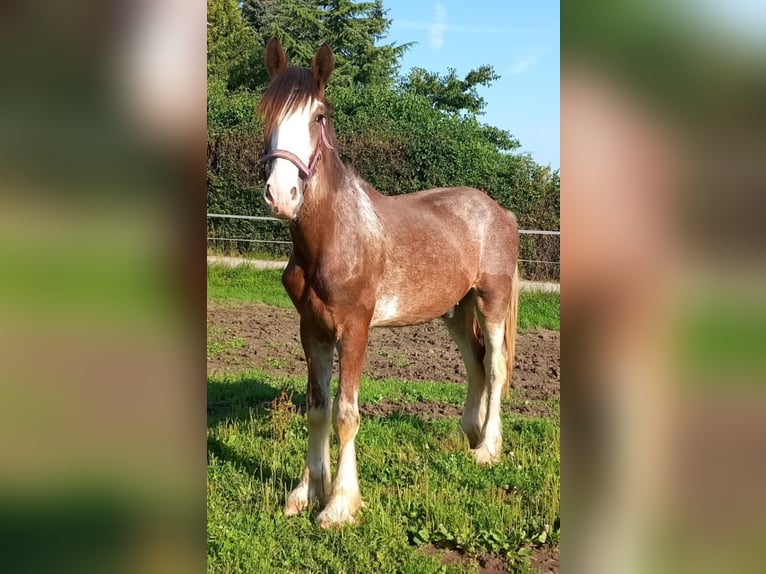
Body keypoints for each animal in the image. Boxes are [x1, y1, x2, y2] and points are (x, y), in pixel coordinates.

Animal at [257, 37, 520, 528]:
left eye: (318, 116)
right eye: (265, 112)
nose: (282, 196)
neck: (334, 234)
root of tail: (501, 212)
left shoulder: (355, 328)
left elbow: (345, 413)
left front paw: (340, 504)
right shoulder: (312, 329)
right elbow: (317, 409)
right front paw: (306, 492)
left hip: (491, 300)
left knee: (495, 366)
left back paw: (488, 449)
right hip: (456, 310)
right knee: (475, 363)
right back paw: (466, 435)